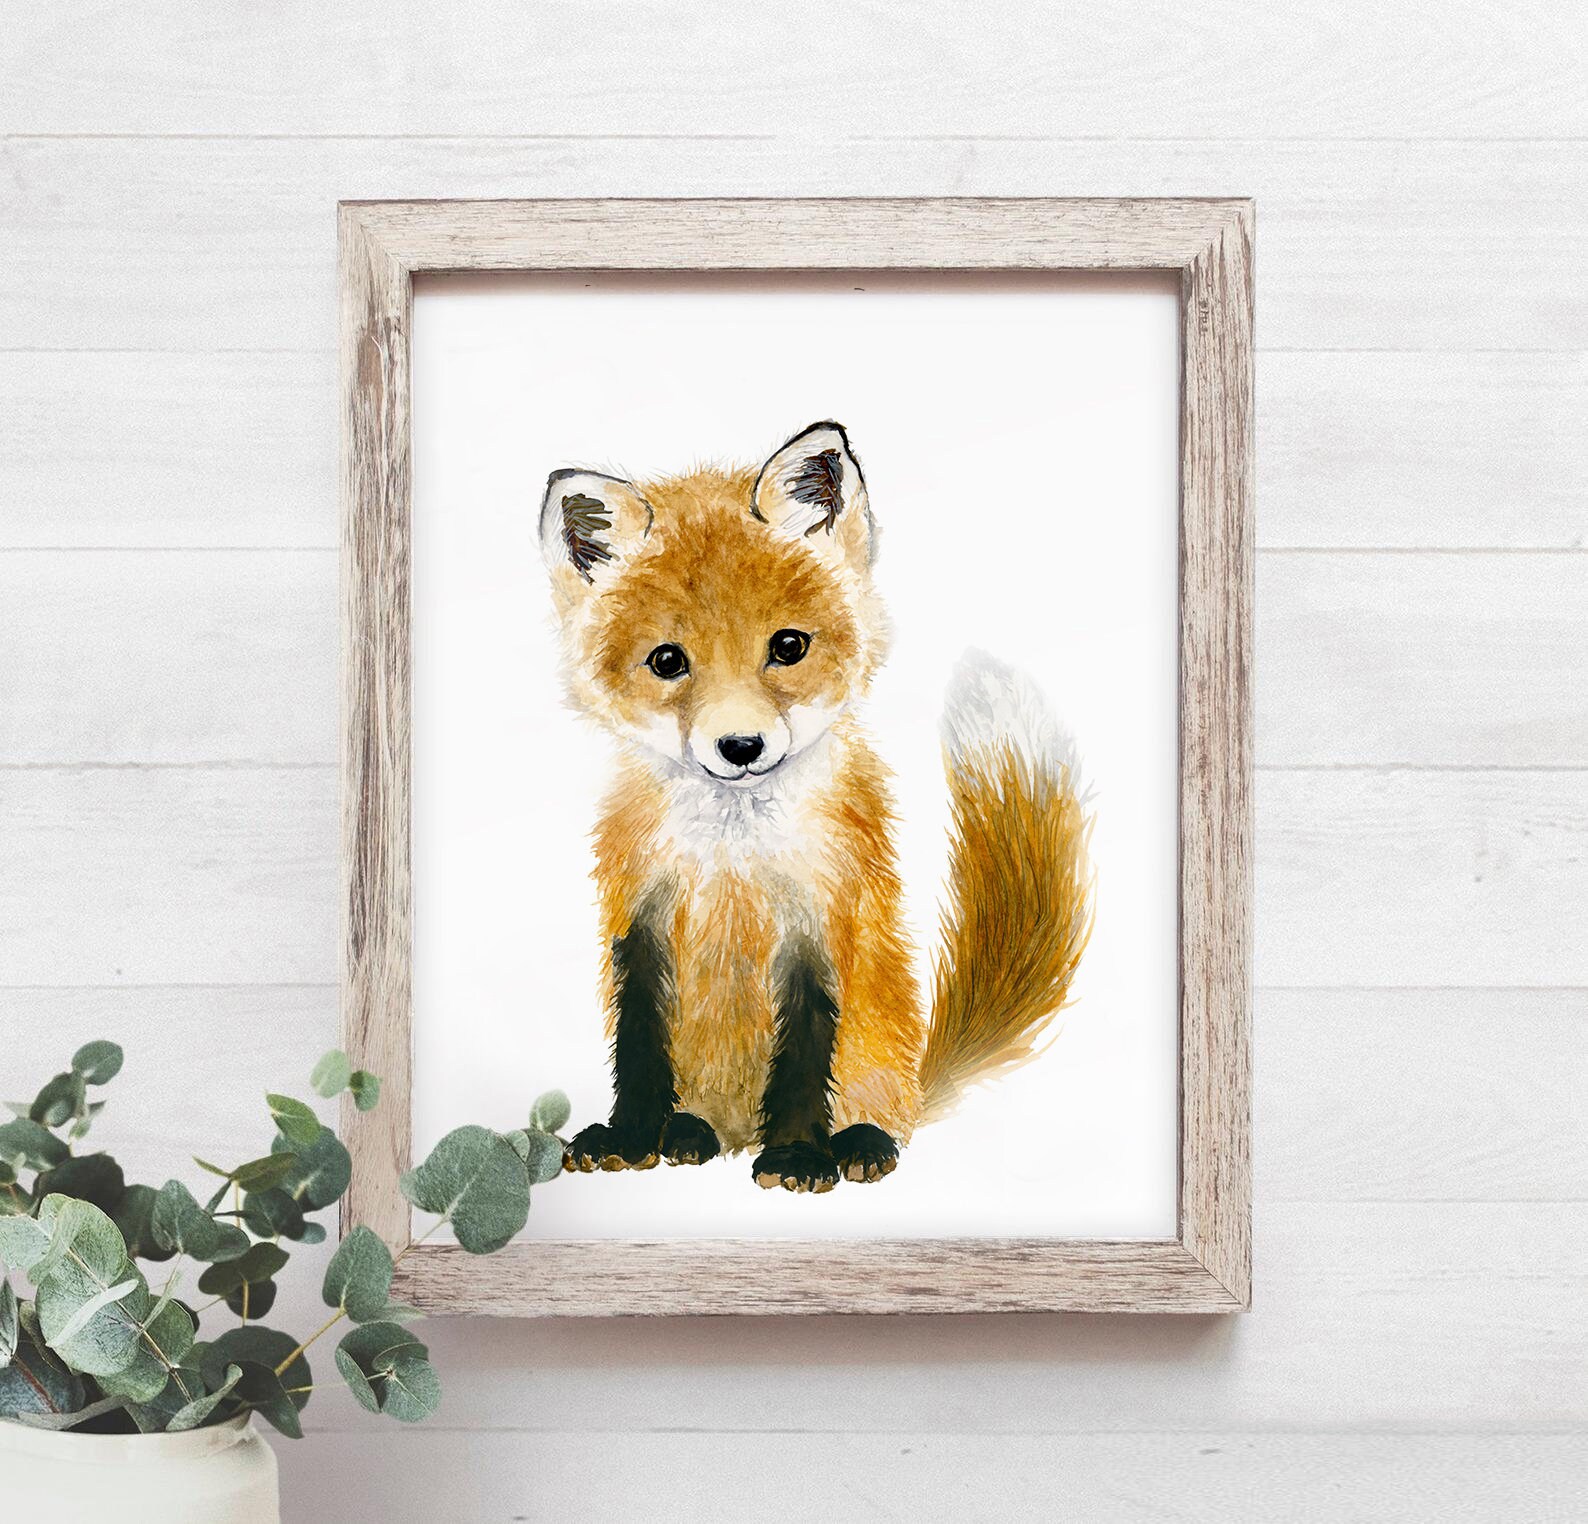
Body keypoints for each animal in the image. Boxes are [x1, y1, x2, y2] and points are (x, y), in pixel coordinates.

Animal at [538, 421, 1092, 1193]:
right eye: (667, 661)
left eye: (789, 646)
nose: (741, 746)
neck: (733, 858)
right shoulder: (638, 914)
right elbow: (639, 1046)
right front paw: (629, 1136)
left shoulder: (821, 919)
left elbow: (804, 1056)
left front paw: (799, 1156)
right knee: (707, 1122)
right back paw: (686, 1134)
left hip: (879, 1053)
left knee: (878, 1112)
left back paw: (858, 1144)